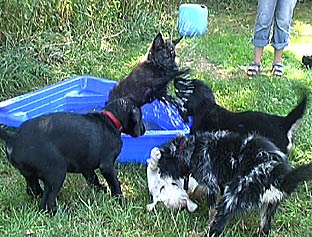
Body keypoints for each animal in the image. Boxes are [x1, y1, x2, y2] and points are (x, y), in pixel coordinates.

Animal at [0, 97, 146, 213]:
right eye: (140, 116)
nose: (144, 129)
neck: (110, 120)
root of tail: (13, 138)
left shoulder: (86, 166)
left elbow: (93, 178)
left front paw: (100, 189)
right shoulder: (107, 166)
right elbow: (115, 184)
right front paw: (121, 200)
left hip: (31, 175)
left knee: (33, 190)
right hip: (57, 172)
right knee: (46, 202)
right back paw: (60, 212)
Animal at [157, 132, 312, 236]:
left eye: (162, 164)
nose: (158, 173)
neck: (193, 149)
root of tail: (278, 174)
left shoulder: (213, 186)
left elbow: (212, 212)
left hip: (232, 197)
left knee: (217, 228)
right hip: (269, 205)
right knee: (265, 229)